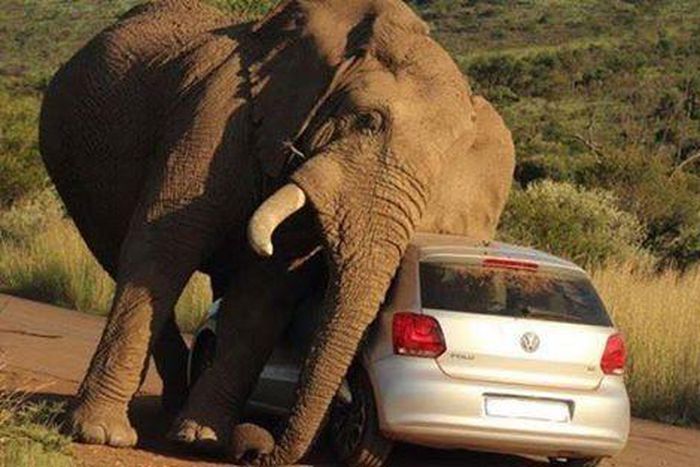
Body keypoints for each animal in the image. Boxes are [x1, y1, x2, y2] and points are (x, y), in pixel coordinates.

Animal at [39, 0, 515, 464]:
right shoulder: (215, 120)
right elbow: (164, 246)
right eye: (367, 121)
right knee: (118, 253)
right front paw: (101, 434)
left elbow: (265, 293)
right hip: (71, 159)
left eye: (444, 167)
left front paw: (203, 439)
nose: (256, 449)